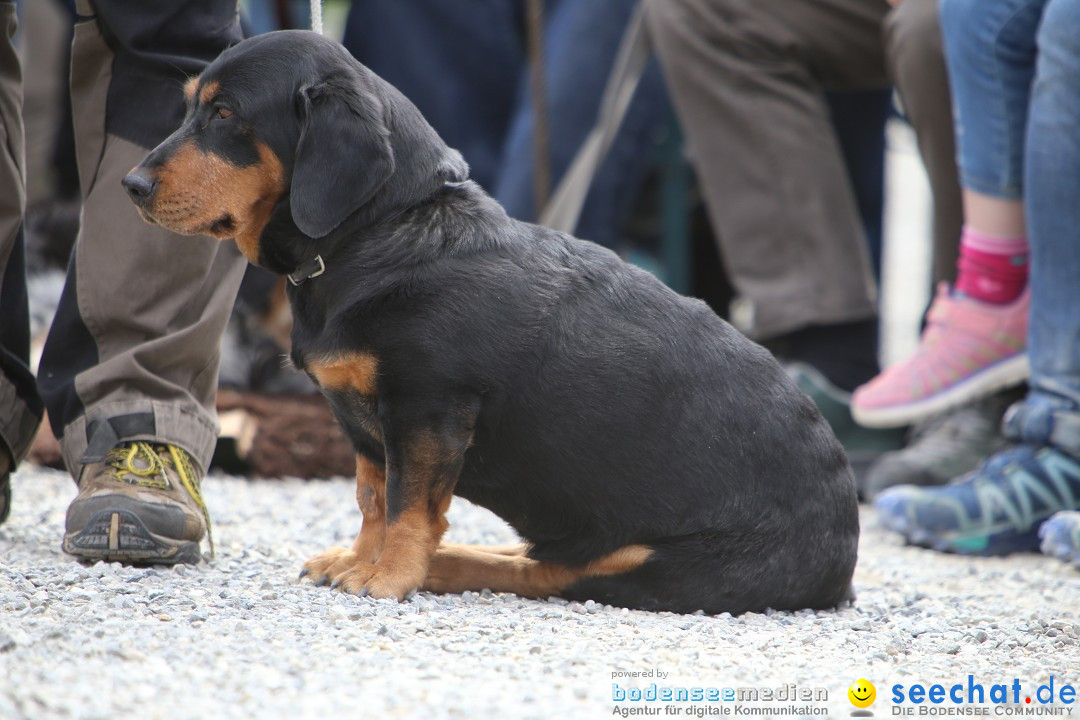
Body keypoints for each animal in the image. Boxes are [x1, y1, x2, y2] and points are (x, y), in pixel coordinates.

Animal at [120, 32, 859, 613]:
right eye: (191, 104)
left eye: (225, 114)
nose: (130, 185)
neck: (378, 231)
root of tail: (846, 554)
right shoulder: (366, 425)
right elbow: (373, 500)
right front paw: (361, 560)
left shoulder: (428, 411)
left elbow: (408, 508)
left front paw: (388, 577)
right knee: (533, 561)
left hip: (654, 565)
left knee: (552, 576)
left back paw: (445, 568)